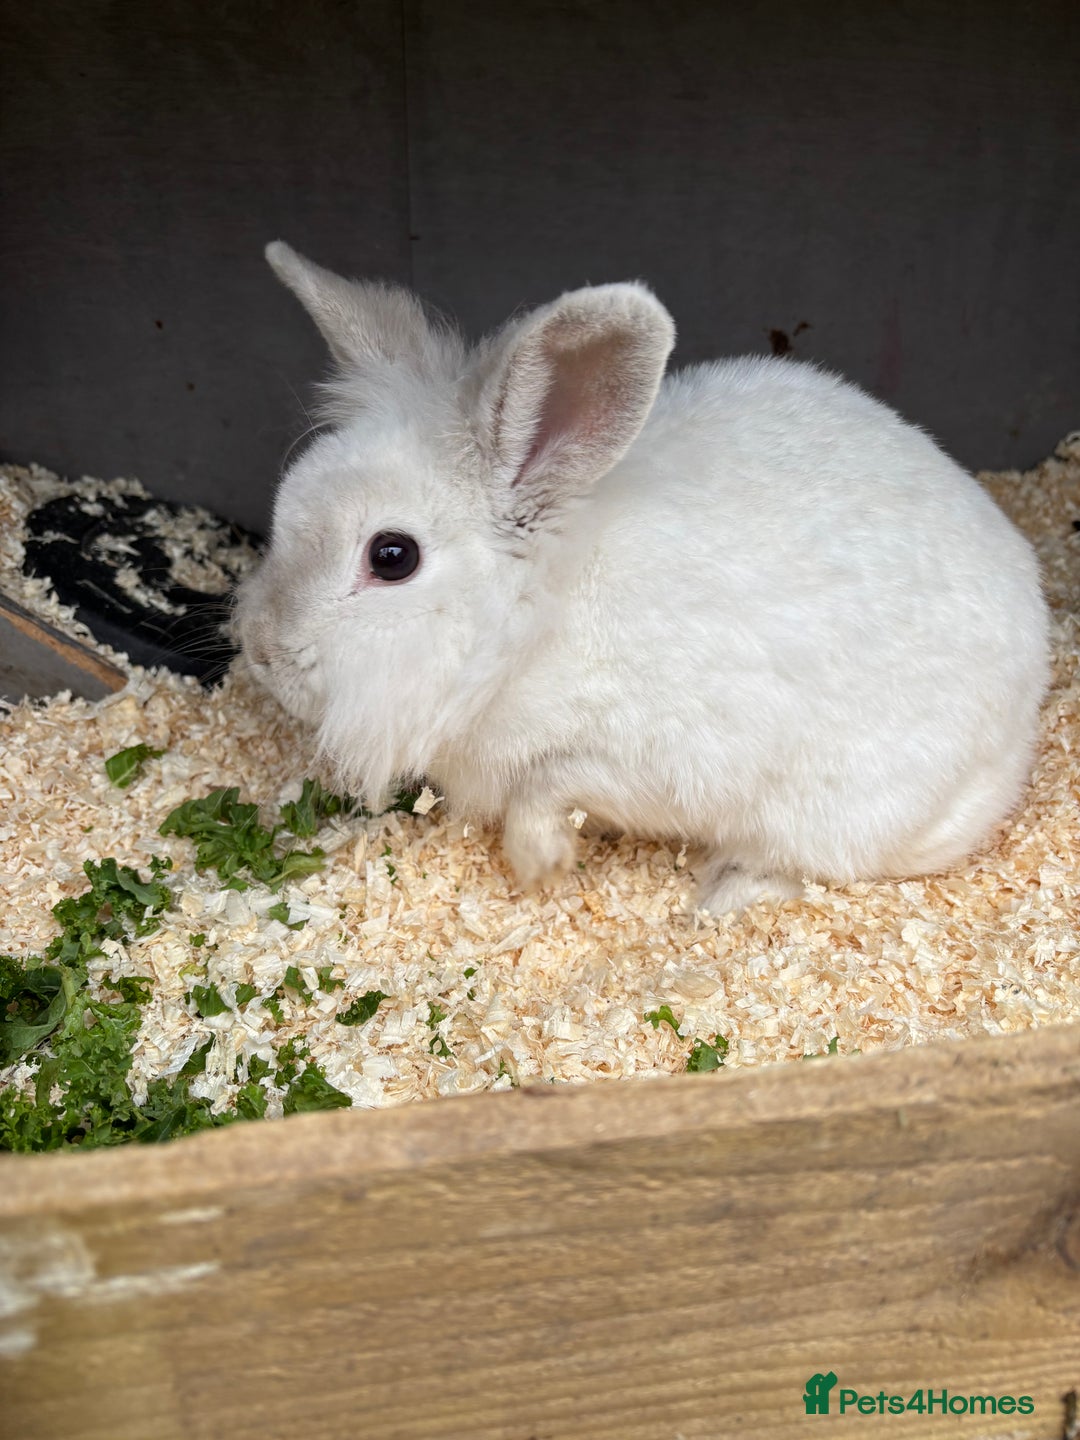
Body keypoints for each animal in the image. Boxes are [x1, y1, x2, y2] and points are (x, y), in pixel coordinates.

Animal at [235, 241, 1051, 915]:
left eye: (392, 557)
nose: (261, 652)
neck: (534, 624)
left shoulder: (651, 758)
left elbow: (549, 784)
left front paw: (539, 862)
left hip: (837, 818)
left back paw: (721, 897)